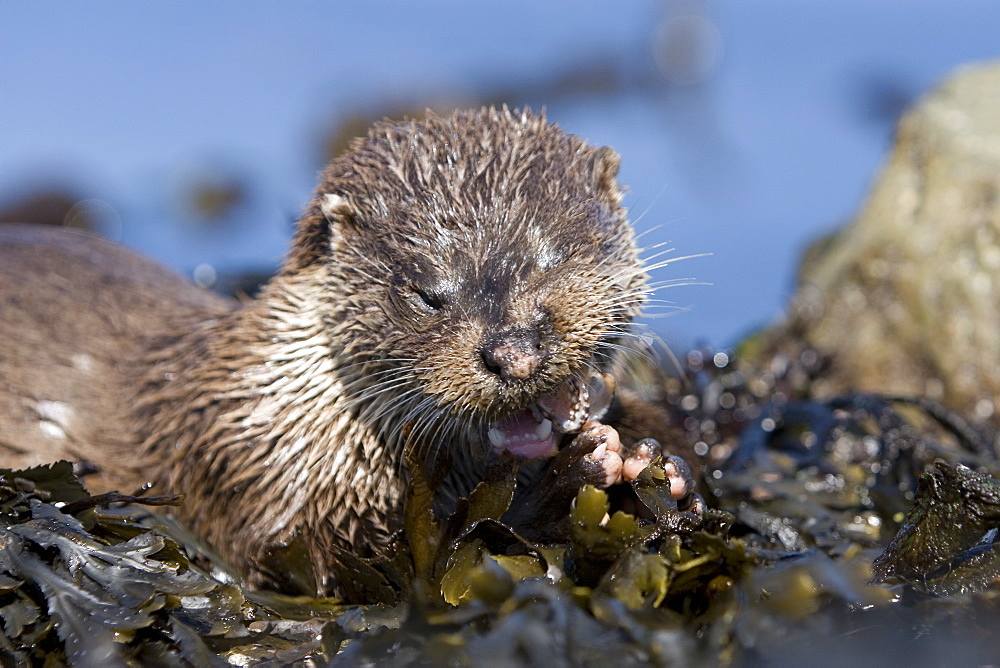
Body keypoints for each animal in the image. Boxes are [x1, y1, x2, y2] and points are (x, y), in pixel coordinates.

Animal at [0, 108, 692, 596]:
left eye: (559, 256)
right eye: (427, 294)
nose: (513, 352)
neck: (284, 417)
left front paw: (655, 458)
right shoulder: (261, 495)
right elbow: (378, 572)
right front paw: (574, 478)